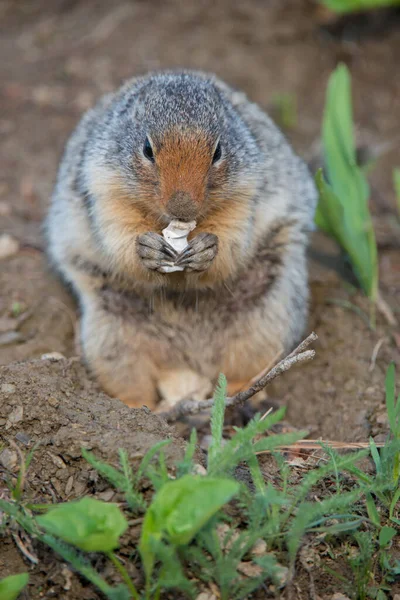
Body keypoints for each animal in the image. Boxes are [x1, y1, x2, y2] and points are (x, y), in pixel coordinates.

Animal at [45, 69, 318, 408]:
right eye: (147, 149)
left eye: (218, 152)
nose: (183, 207)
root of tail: (188, 363)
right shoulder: (103, 188)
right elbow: (117, 233)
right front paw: (146, 248)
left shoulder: (246, 194)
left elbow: (233, 238)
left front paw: (207, 249)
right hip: (111, 338)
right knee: (130, 382)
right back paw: (137, 409)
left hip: (268, 320)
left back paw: (247, 397)